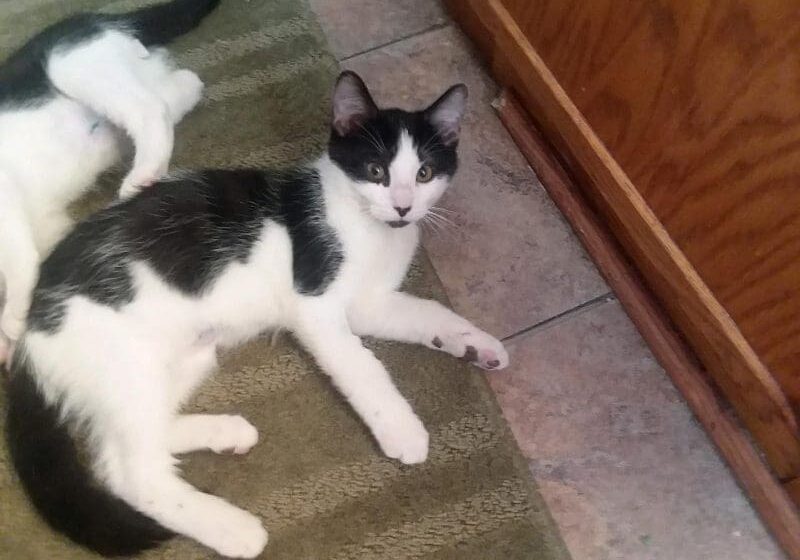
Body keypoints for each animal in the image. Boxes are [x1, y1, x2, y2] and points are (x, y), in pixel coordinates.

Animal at [0, 0, 219, 364]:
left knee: (150, 107)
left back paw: (143, 175)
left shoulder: (5, 195)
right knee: (182, 85)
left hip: (72, 61)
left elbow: (20, 259)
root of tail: (99, 18)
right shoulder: (47, 222)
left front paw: (13, 317)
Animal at [6, 70, 510, 556]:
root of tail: (29, 331)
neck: (366, 226)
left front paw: (476, 344)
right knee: (130, 473)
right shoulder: (314, 306)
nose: (403, 207)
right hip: (125, 361)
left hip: (184, 355)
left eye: (424, 173)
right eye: (375, 170)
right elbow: (362, 366)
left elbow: (429, 312)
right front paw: (402, 429)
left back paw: (225, 432)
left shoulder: (370, 304)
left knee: (125, 441)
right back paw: (233, 528)